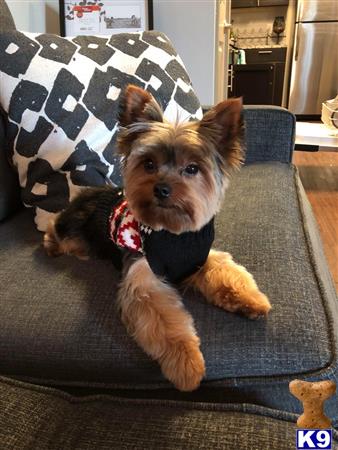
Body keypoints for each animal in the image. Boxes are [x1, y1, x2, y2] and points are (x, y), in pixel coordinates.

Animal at [44, 84, 272, 390]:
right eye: (149, 164)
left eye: (192, 168)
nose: (162, 189)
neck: (172, 234)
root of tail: (86, 193)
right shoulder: (144, 279)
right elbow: (165, 319)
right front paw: (187, 365)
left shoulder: (201, 257)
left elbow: (226, 272)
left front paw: (249, 301)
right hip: (71, 226)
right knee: (54, 226)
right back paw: (57, 246)